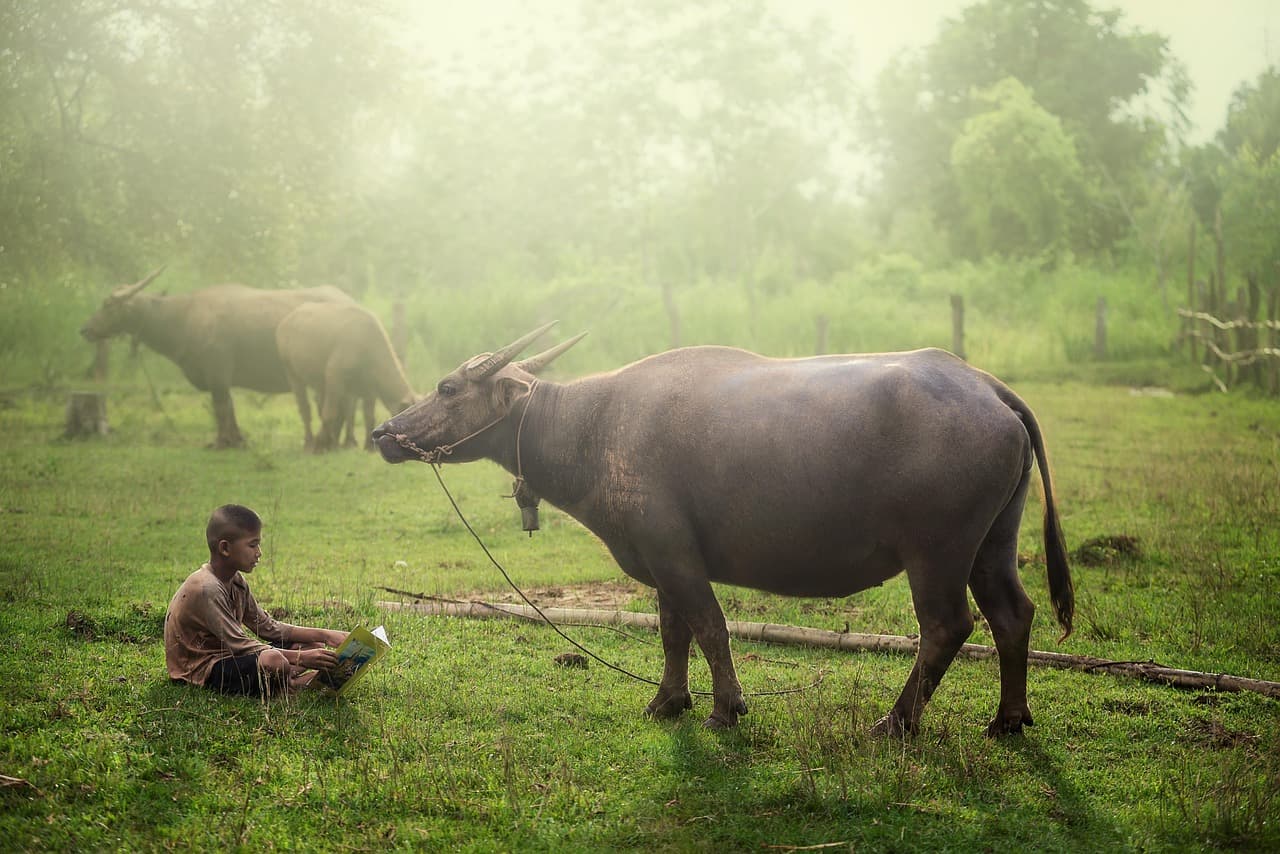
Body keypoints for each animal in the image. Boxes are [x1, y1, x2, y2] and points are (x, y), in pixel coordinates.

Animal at [373, 324, 1073, 737]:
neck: (593, 426)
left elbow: (709, 627)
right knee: (1013, 614)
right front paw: (667, 702)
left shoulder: (676, 554)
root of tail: (987, 387)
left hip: (937, 552)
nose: (384, 432)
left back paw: (895, 723)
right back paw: (1009, 719)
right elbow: (672, 631)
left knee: (948, 627)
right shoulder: (660, 562)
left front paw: (726, 708)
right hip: (993, 543)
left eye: (447, 387)